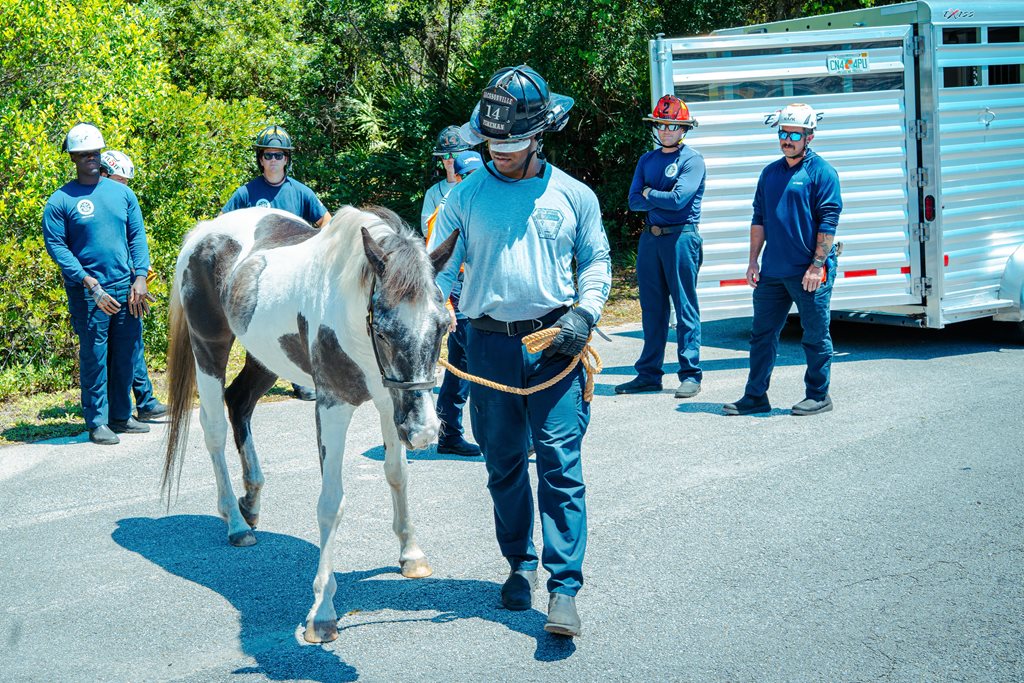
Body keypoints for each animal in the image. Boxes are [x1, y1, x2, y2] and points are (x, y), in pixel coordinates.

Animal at [161, 205, 458, 643]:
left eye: (442, 326)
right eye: (384, 329)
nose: (424, 432)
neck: (353, 313)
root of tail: (205, 232)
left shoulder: (391, 400)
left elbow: (397, 473)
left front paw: (411, 553)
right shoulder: (332, 406)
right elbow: (331, 503)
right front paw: (322, 611)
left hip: (265, 356)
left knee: (240, 403)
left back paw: (251, 502)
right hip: (209, 349)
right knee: (214, 427)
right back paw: (236, 521)